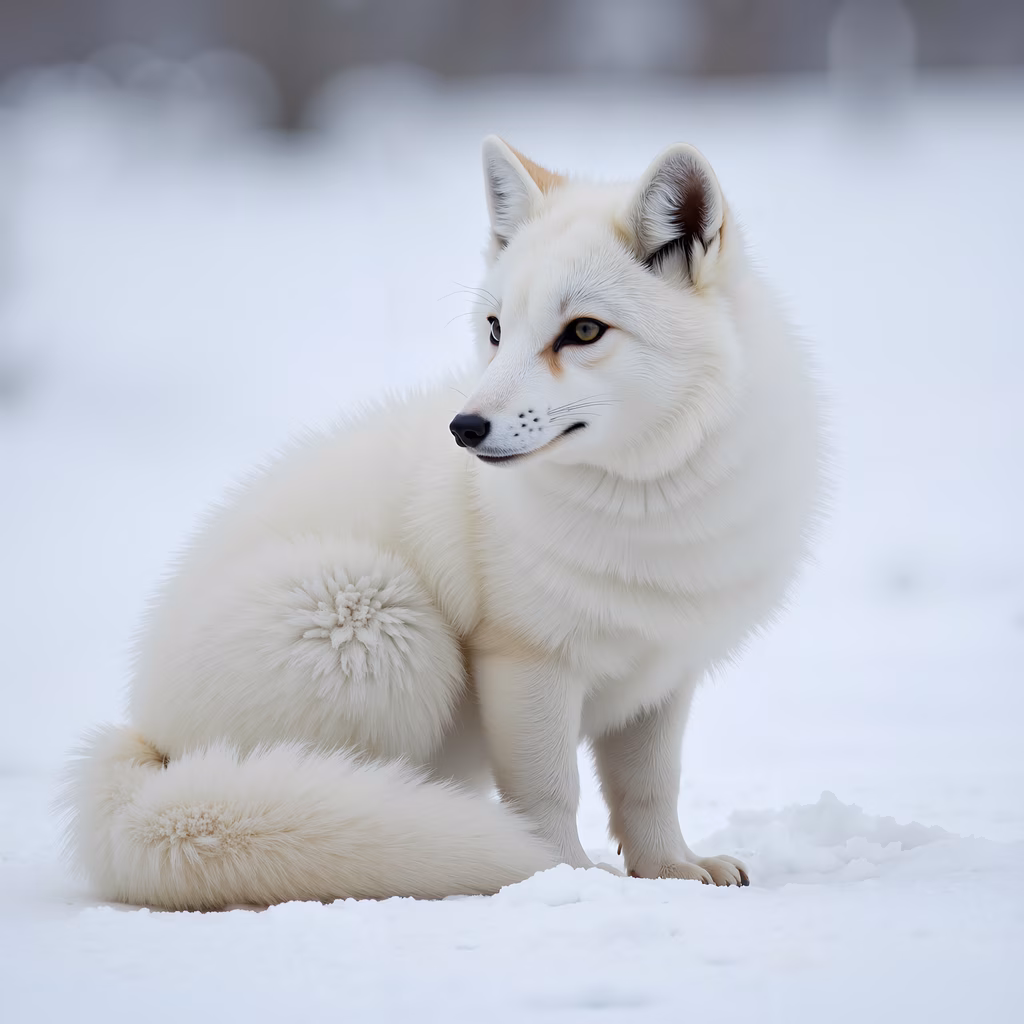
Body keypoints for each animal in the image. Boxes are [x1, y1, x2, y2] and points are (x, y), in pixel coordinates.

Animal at [62, 137, 821, 910]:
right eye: (495, 330)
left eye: (583, 331)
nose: (465, 427)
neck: (646, 506)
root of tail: (146, 737)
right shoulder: (524, 659)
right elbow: (549, 793)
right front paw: (559, 874)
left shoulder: (662, 678)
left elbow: (649, 791)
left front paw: (670, 870)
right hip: (387, 623)